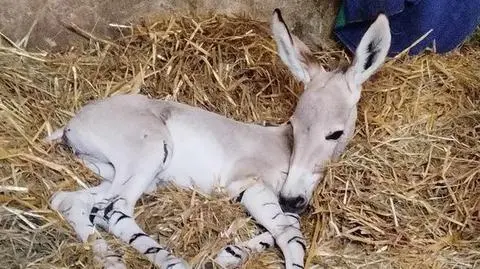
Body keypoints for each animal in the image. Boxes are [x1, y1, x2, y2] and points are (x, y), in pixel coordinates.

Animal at [46, 8, 390, 268]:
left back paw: (109, 259)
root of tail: (72, 124)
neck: (286, 152)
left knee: (71, 202)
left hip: (128, 174)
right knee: (116, 212)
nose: (291, 198)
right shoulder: (247, 184)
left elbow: (288, 223)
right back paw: (172, 262)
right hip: (149, 151)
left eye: (335, 133)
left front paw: (232, 252)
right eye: (294, 125)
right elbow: (290, 232)